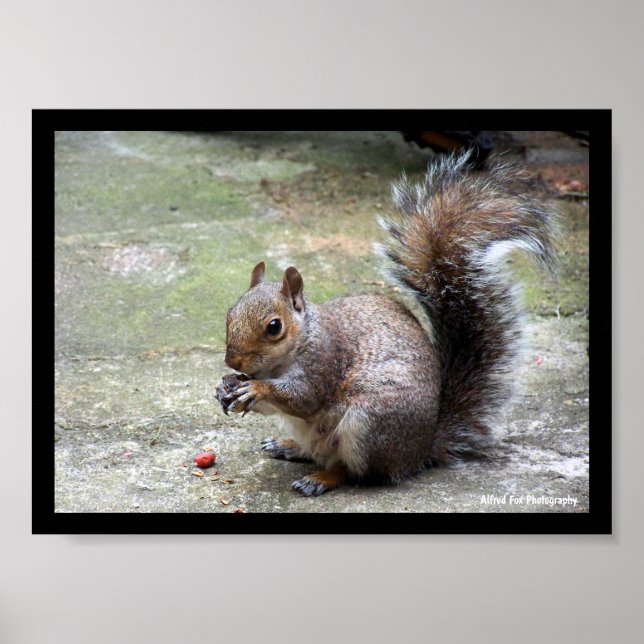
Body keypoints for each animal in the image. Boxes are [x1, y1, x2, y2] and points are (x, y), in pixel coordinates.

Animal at [215, 152, 559, 496]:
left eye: (274, 327)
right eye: (230, 313)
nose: (232, 361)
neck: (293, 348)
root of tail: (420, 451)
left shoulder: (325, 360)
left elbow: (304, 398)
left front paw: (256, 388)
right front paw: (226, 386)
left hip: (369, 424)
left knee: (355, 472)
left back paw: (321, 478)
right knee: (315, 453)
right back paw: (288, 446)